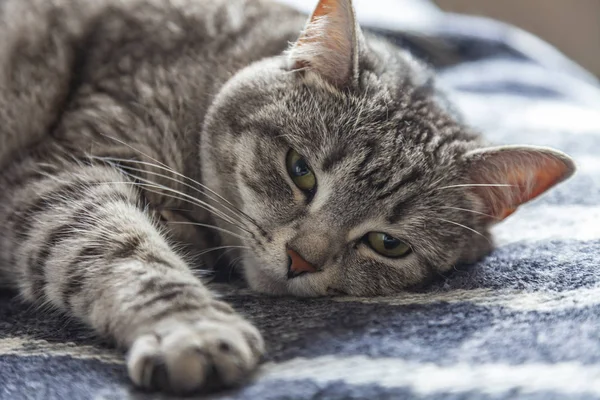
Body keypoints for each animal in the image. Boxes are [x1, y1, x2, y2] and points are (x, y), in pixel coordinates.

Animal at [0, 0, 576, 394]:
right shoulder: (65, 169)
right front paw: (192, 330)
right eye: (301, 172)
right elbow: (126, 254)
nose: (301, 259)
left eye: (388, 244)